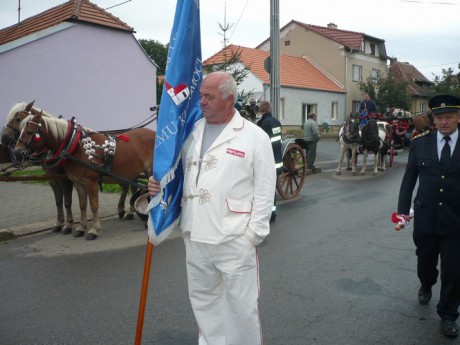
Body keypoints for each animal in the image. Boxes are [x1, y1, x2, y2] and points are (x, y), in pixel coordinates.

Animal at [13, 111, 155, 239]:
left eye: (30, 132)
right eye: (20, 130)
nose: (17, 152)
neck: (75, 147)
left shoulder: (90, 182)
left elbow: (93, 205)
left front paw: (94, 230)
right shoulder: (78, 183)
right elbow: (82, 205)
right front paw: (81, 228)